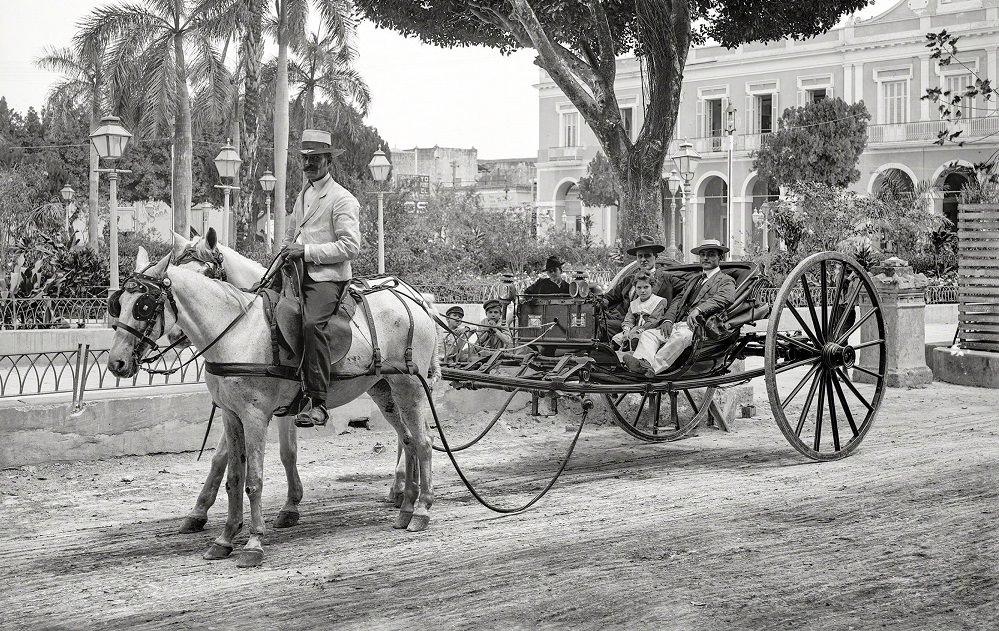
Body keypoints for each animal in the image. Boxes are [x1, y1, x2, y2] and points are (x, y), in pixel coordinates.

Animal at [107, 251, 440, 568]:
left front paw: (254, 543)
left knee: (424, 442)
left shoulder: (255, 416)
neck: (237, 333)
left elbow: (254, 480)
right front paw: (225, 538)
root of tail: (416, 300)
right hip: (384, 389)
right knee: (409, 440)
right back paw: (406, 506)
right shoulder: (231, 415)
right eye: (117, 303)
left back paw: (422, 510)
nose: (116, 362)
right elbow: (234, 477)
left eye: (143, 306)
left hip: (409, 386)